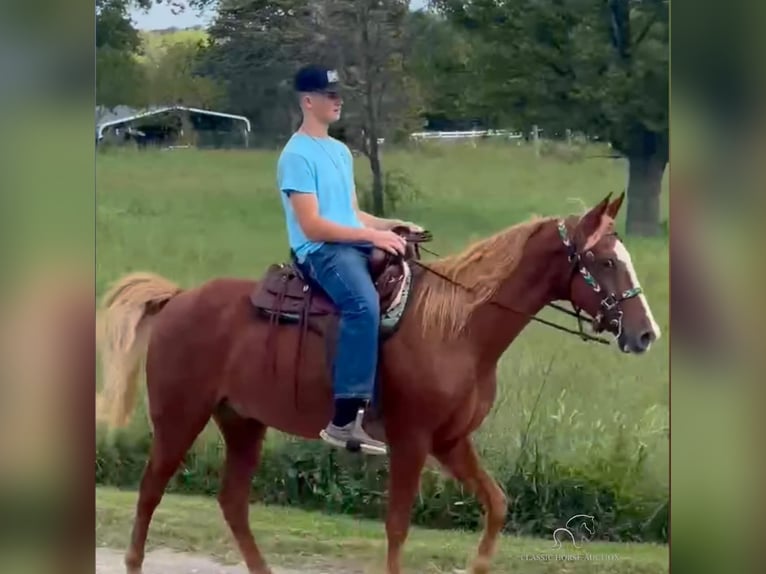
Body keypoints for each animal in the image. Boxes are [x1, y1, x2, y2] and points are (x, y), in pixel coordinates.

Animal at [96, 191, 660, 572]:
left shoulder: (451, 441)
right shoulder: (411, 442)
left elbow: (497, 505)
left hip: (242, 423)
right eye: (605, 261)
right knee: (150, 491)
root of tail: (178, 298)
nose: (646, 334)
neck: (457, 327)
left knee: (232, 503)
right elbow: (397, 525)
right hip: (179, 417)